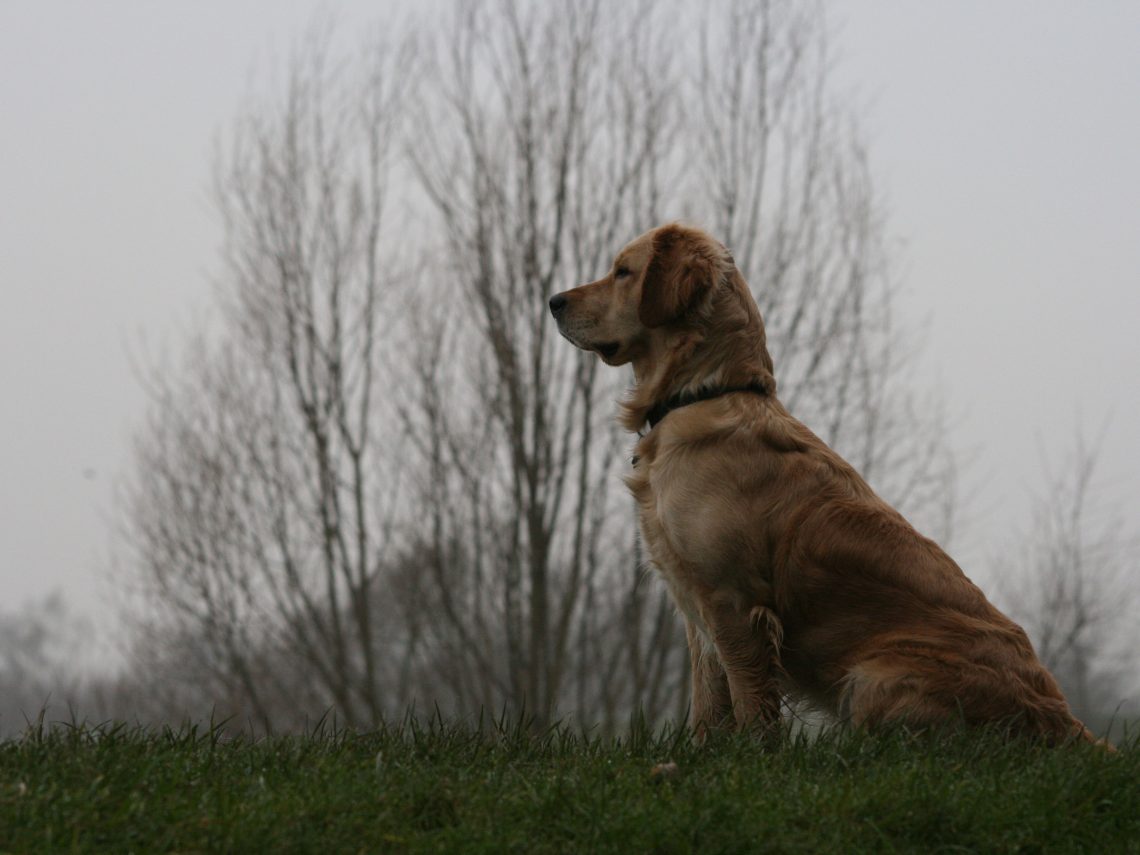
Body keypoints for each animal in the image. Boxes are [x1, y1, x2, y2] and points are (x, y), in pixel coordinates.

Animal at [547, 224, 1098, 747]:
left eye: (623, 271)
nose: (553, 302)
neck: (703, 392)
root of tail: (1067, 721)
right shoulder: (697, 610)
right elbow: (708, 703)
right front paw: (701, 755)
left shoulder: (733, 601)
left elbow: (750, 702)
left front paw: (752, 757)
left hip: (875, 675)